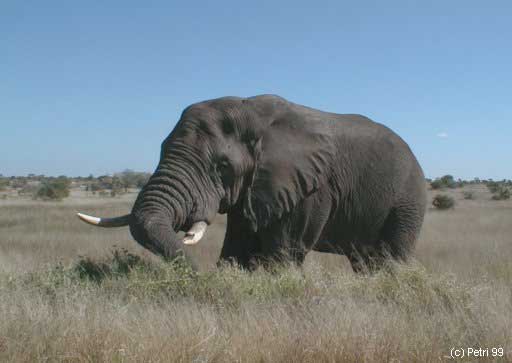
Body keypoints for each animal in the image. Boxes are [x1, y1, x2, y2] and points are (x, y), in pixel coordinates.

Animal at [77, 95, 428, 272]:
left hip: (408, 200)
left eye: (222, 166)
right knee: (364, 262)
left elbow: (283, 254)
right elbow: (237, 247)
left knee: (391, 258)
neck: (253, 113)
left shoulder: (311, 188)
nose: (197, 274)